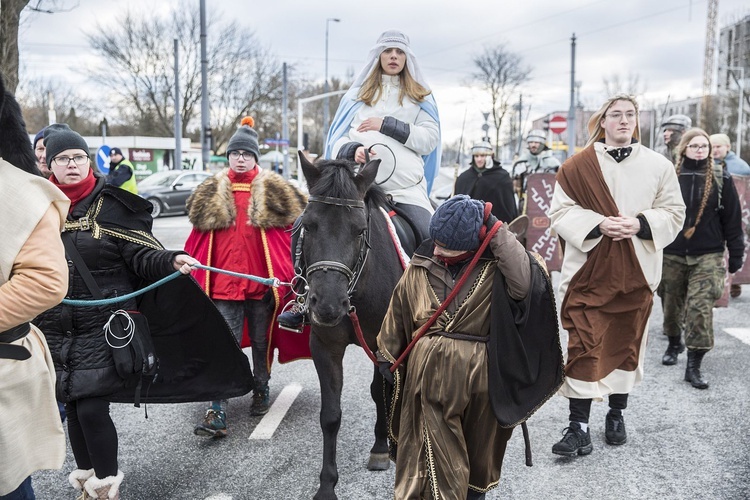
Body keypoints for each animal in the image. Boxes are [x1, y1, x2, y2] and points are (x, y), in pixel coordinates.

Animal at [298, 153, 406, 500]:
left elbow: (382, 392)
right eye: (308, 225)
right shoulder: (325, 346)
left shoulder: (385, 346)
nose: (328, 305)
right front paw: (327, 485)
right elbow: (331, 416)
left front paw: (382, 448)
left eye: (359, 230)